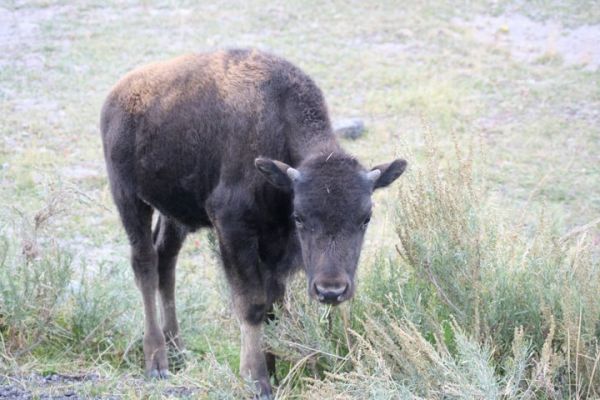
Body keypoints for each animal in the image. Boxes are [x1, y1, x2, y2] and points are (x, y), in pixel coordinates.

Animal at [99, 49, 408, 396]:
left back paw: (178, 350)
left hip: (174, 214)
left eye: (365, 218)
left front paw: (274, 370)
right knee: (146, 264)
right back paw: (157, 361)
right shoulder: (233, 229)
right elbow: (253, 303)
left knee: (167, 262)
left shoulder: (277, 246)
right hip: (128, 197)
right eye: (300, 217)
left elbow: (274, 303)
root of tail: (116, 96)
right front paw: (257, 379)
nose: (331, 290)